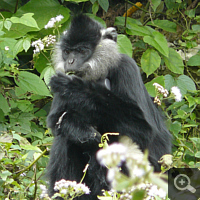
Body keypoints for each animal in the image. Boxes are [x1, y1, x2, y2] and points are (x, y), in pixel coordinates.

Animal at [47, 14, 172, 198]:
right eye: (67, 52)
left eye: (82, 51)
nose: (70, 61)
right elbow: (56, 121)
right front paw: (85, 134)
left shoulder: (126, 67)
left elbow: (143, 130)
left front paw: (76, 88)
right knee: (65, 138)